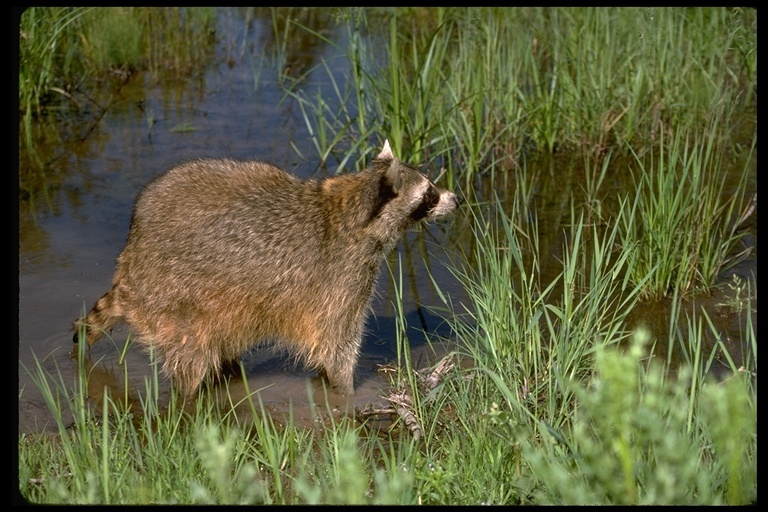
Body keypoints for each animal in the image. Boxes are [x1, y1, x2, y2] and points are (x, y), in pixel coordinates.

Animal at [73, 140, 456, 396]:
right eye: (429, 193)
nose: (456, 198)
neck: (352, 206)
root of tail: (132, 259)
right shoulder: (341, 277)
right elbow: (336, 345)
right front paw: (346, 392)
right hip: (173, 297)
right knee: (191, 354)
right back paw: (191, 395)